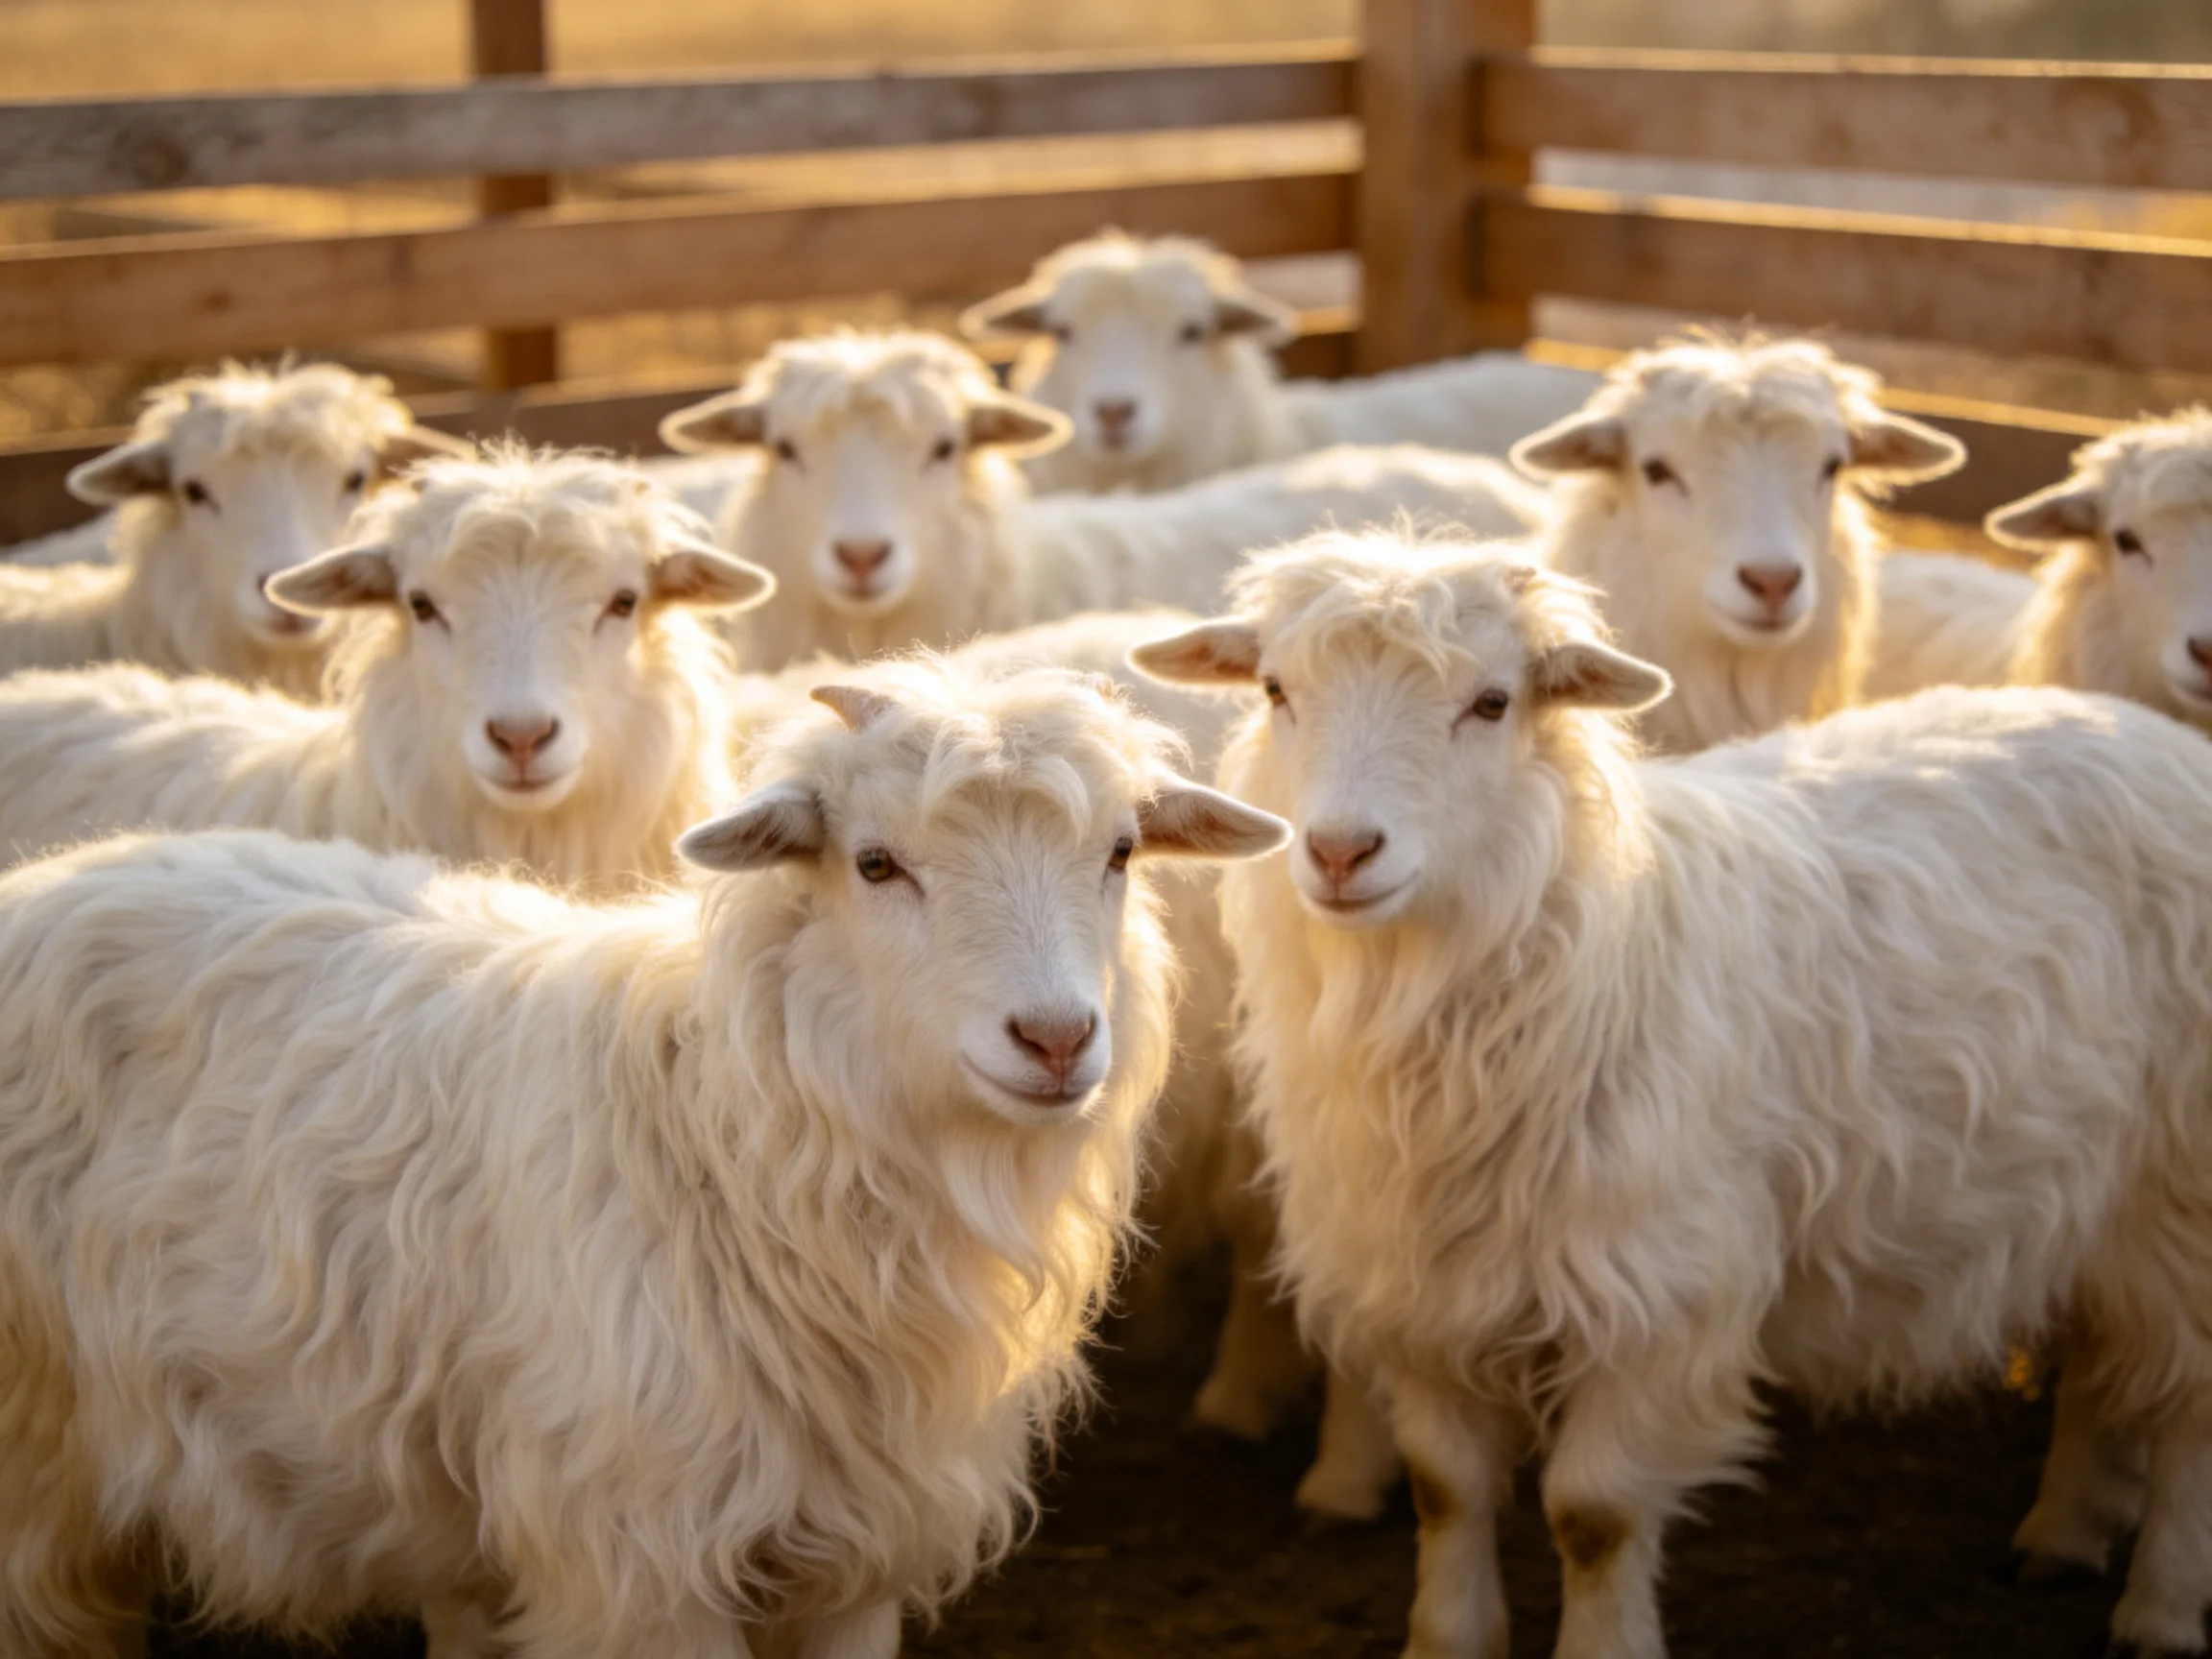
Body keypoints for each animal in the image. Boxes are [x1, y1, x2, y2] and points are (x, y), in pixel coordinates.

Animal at [0, 657, 1289, 1659]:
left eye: (1120, 852)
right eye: (875, 863)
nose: (1058, 1037)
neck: (729, 1143)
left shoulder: (858, 1562)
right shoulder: (640, 1562)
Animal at [1134, 528, 2212, 1659]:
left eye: (1493, 703)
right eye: (1275, 689)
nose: (1341, 851)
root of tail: (2164, 741)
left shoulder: (1659, 1294)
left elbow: (1593, 1516)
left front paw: (1603, 1642)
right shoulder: (1422, 1286)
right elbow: (1445, 1489)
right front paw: (1448, 1637)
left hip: (2183, 1180)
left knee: (2192, 1407)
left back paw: (2163, 1605)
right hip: (2103, 1196)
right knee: (2106, 1358)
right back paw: (2064, 1532)